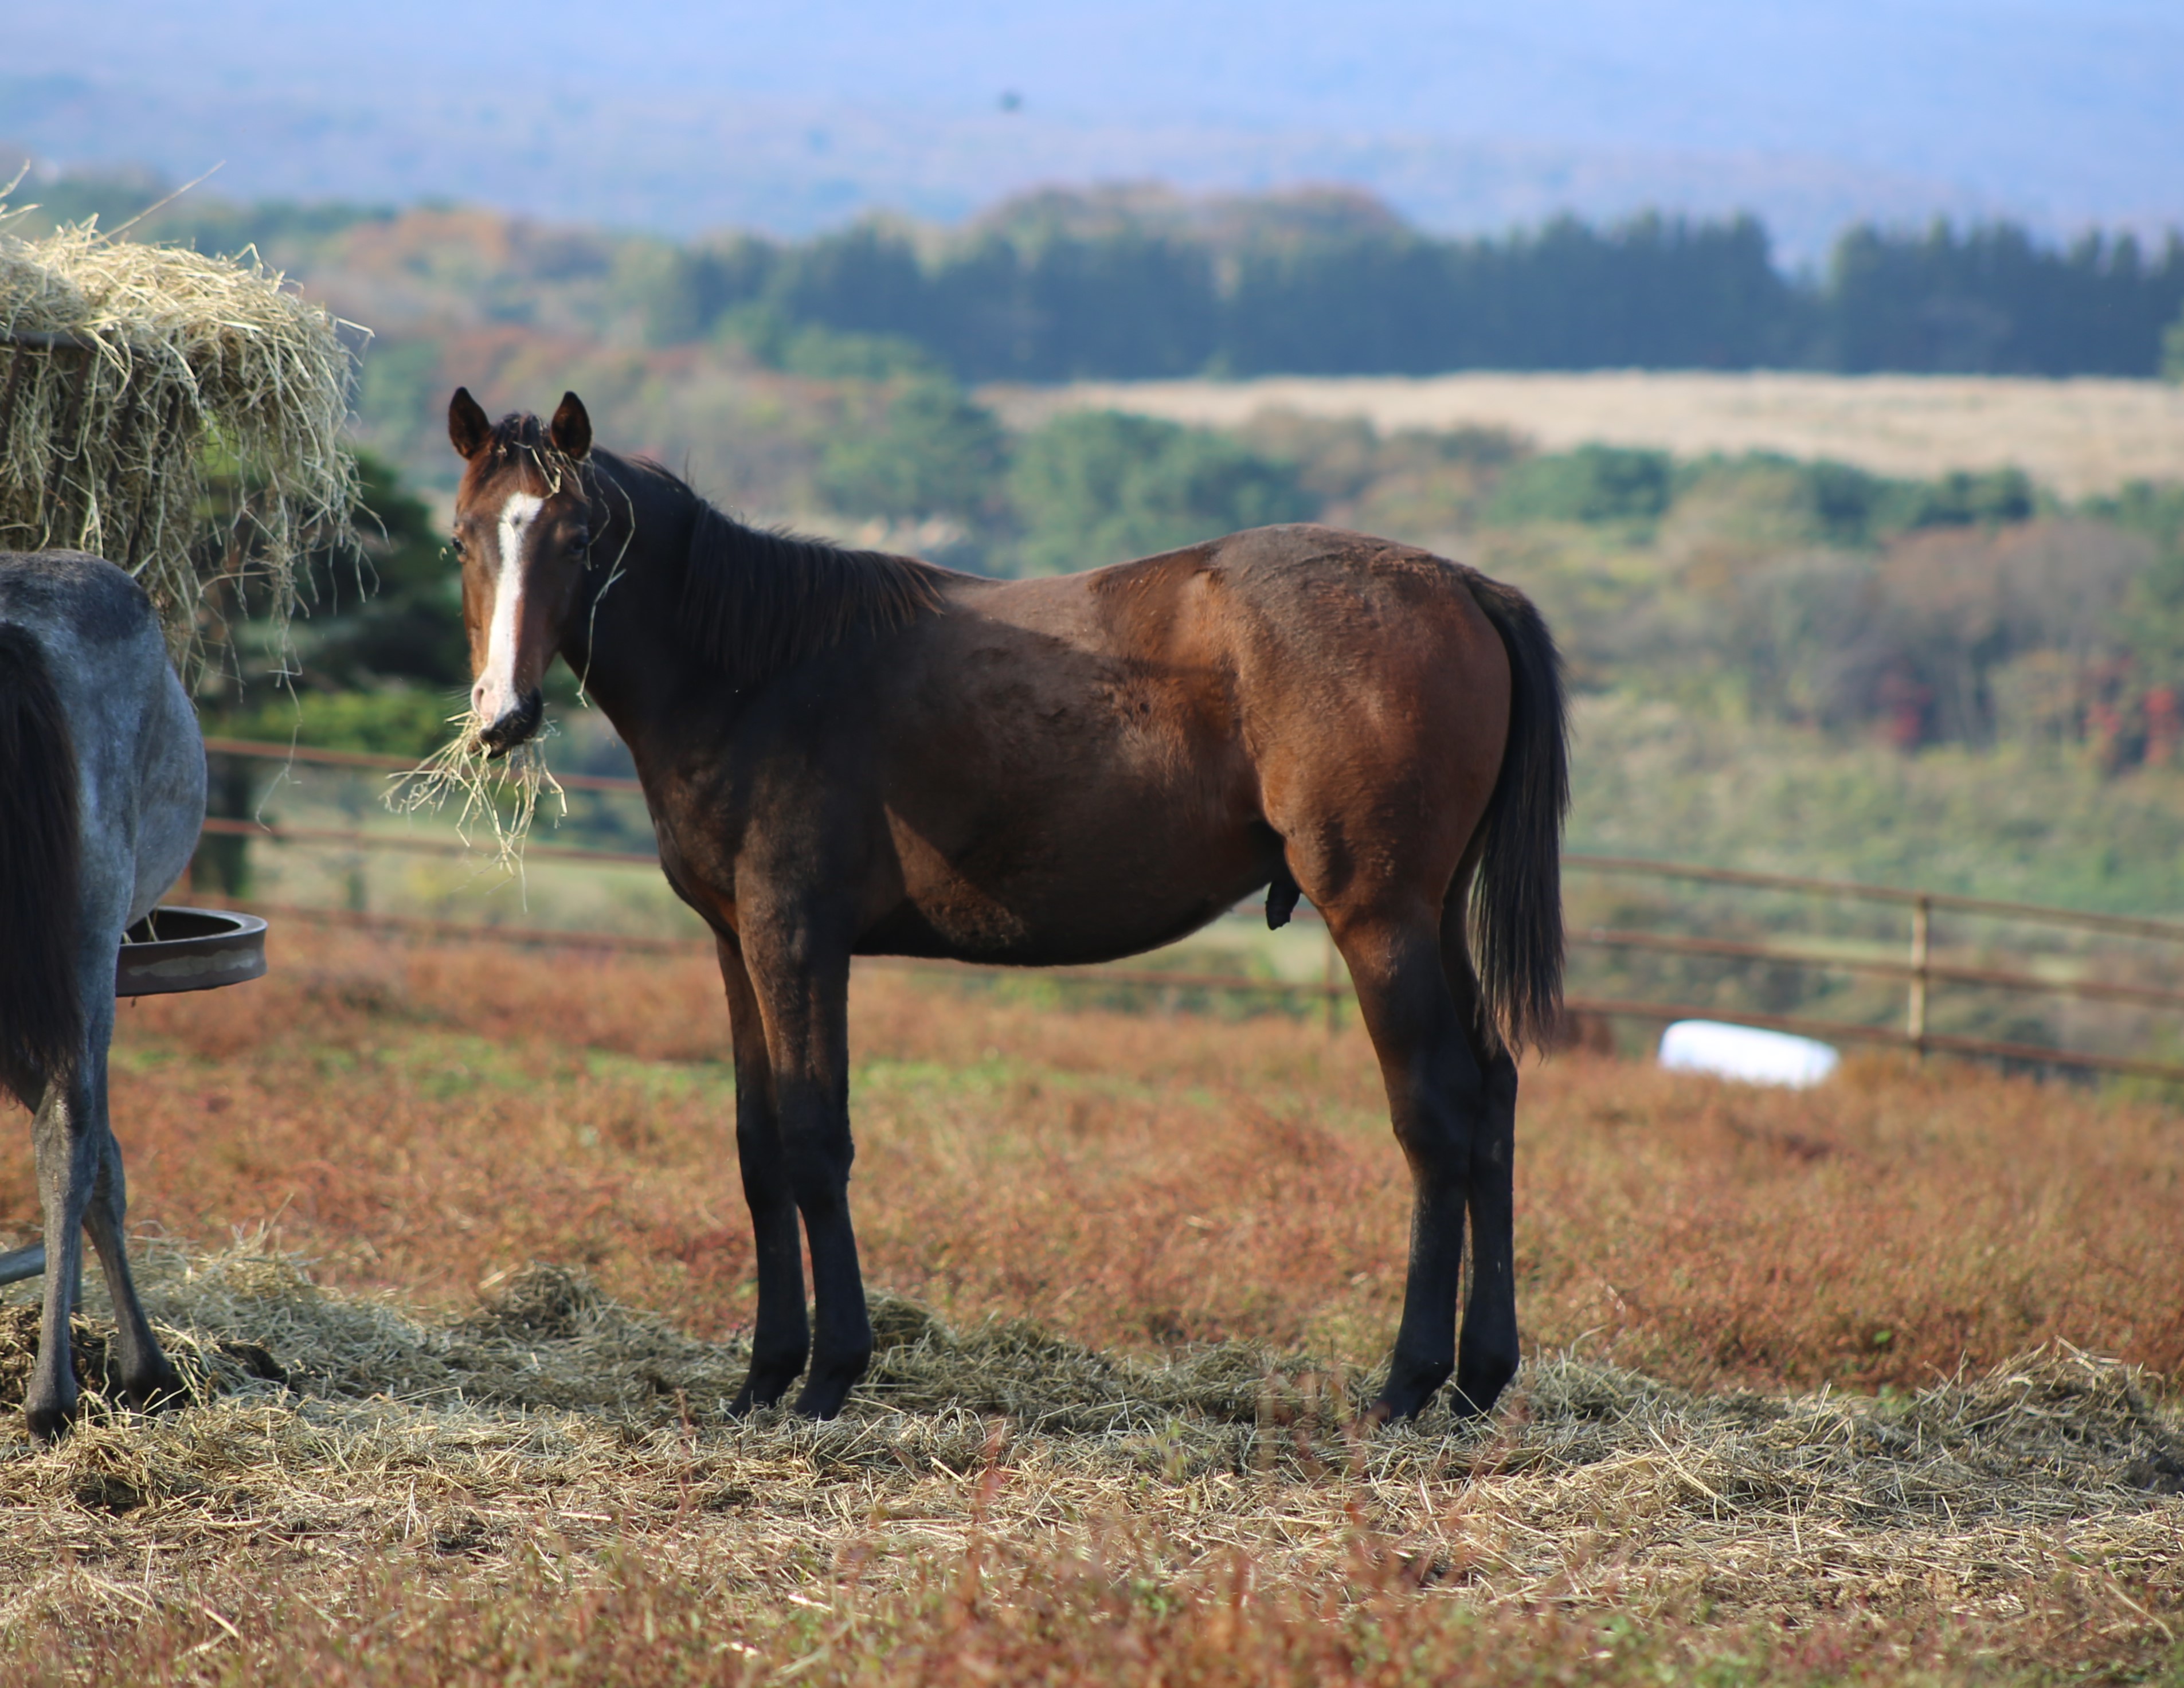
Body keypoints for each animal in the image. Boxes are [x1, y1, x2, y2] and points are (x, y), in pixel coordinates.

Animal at [448, 384, 1572, 1424]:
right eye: (464, 536)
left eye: (578, 537)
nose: (504, 715)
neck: (757, 674)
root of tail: (1461, 586)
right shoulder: (737, 945)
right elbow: (759, 1149)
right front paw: (763, 1377)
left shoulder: (797, 938)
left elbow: (815, 1140)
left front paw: (828, 1376)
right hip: (1433, 916)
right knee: (1493, 1095)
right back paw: (1479, 1378)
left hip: (1379, 918)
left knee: (1435, 1113)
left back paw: (1407, 1384)